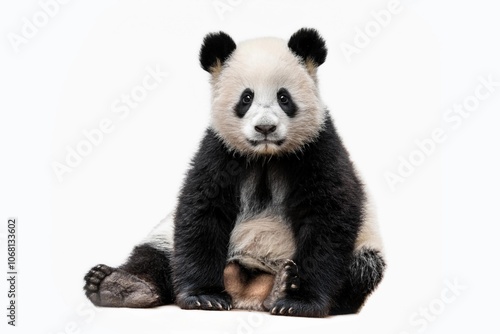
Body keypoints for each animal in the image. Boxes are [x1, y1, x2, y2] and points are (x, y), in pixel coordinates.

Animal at [84, 27, 384, 318]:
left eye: (283, 97)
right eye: (246, 98)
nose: (265, 128)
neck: (265, 156)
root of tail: (247, 293)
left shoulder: (317, 148)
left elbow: (329, 216)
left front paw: (301, 302)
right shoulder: (220, 151)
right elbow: (202, 210)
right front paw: (204, 296)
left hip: (364, 246)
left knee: (362, 270)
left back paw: (282, 285)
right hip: (167, 237)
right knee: (155, 253)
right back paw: (119, 286)